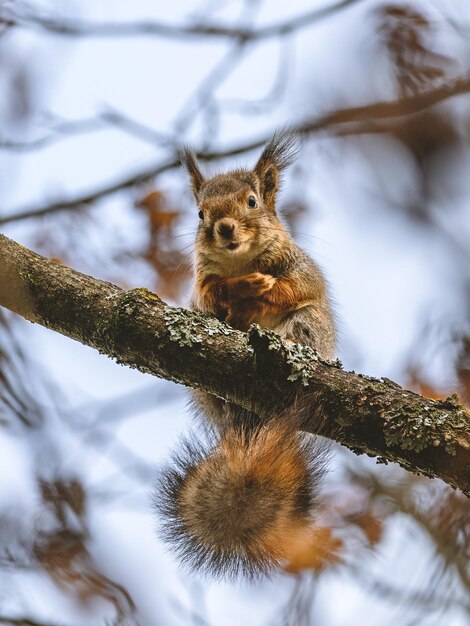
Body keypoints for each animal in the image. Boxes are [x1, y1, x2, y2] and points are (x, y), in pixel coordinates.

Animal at [156, 133, 336, 580]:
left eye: (252, 201)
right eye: (200, 213)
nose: (223, 227)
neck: (240, 262)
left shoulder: (300, 269)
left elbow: (297, 288)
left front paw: (259, 293)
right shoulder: (201, 288)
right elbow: (210, 298)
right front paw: (237, 293)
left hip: (309, 326)